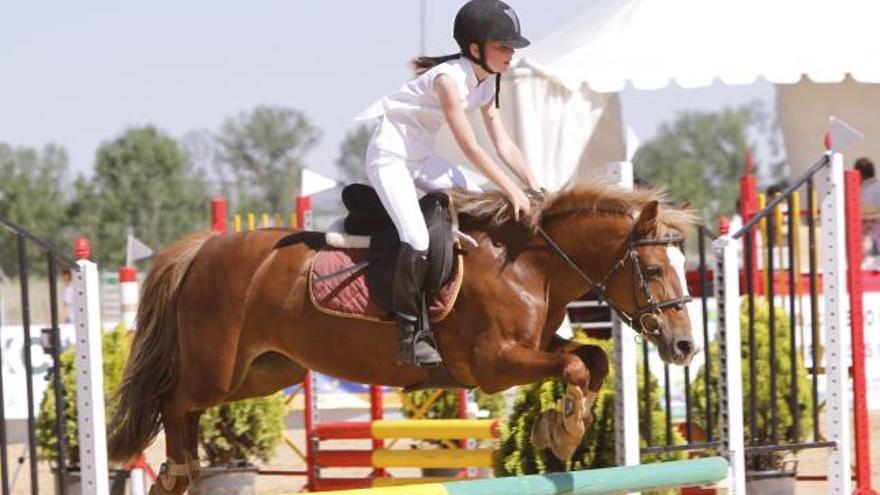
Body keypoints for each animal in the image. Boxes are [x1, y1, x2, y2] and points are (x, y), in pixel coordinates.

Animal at [110, 184, 696, 494]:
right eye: (652, 269)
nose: (684, 347)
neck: (531, 264)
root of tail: (204, 248)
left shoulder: (535, 348)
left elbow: (592, 359)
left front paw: (562, 424)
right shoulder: (494, 363)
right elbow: (575, 366)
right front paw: (567, 429)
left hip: (263, 373)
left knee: (185, 409)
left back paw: (180, 473)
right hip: (217, 369)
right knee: (172, 401)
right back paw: (176, 472)